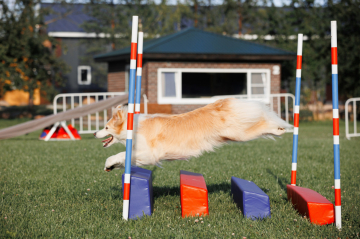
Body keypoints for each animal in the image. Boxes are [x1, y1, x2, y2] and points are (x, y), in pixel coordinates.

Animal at [94, 97, 292, 172]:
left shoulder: (149, 153)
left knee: (264, 125)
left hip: (240, 134)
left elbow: (119, 154)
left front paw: (109, 163)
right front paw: (112, 166)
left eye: (106, 127)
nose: (95, 132)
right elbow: (123, 157)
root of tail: (222, 102)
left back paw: (281, 129)